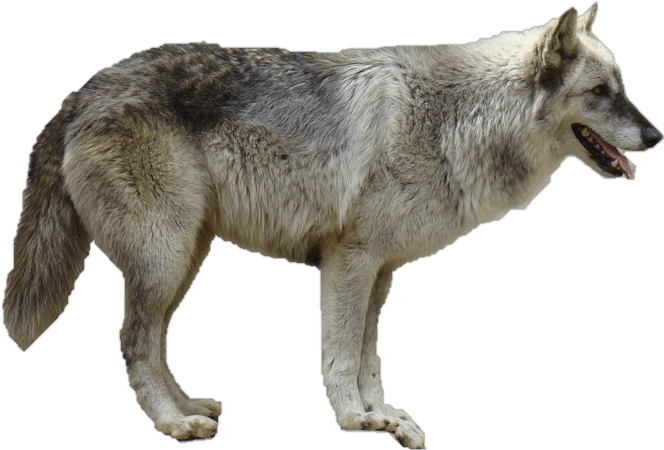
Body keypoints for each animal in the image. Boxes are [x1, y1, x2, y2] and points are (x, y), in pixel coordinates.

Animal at [2, 2, 661, 448]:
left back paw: (189, 406)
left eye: (621, 87)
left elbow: (367, 357)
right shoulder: (350, 262)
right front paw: (356, 419)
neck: (460, 119)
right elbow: (340, 355)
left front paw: (384, 417)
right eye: (601, 91)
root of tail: (81, 93)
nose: (656, 136)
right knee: (133, 342)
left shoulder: (380, 273)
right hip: (167, 259)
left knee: (151, 343)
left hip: (186, 257)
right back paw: (174, 424)